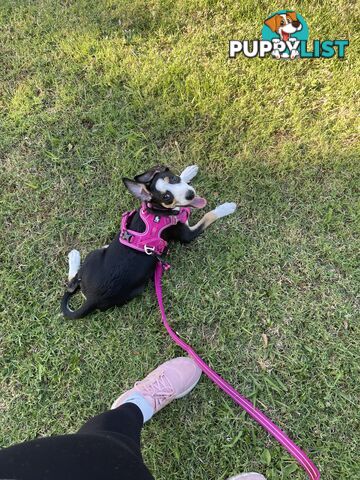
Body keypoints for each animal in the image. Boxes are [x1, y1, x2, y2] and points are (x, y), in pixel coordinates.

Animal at [62, 165, 236, 318]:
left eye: (174, 179)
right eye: (167, 197)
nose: (190, 194)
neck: (159, 210)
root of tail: (92, 299)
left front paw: (189, 171)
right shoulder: (186, 234)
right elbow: (208, 216)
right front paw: (226, 208)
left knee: (72, 286)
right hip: (99, 259)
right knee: (71, 283)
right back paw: (74, 256)